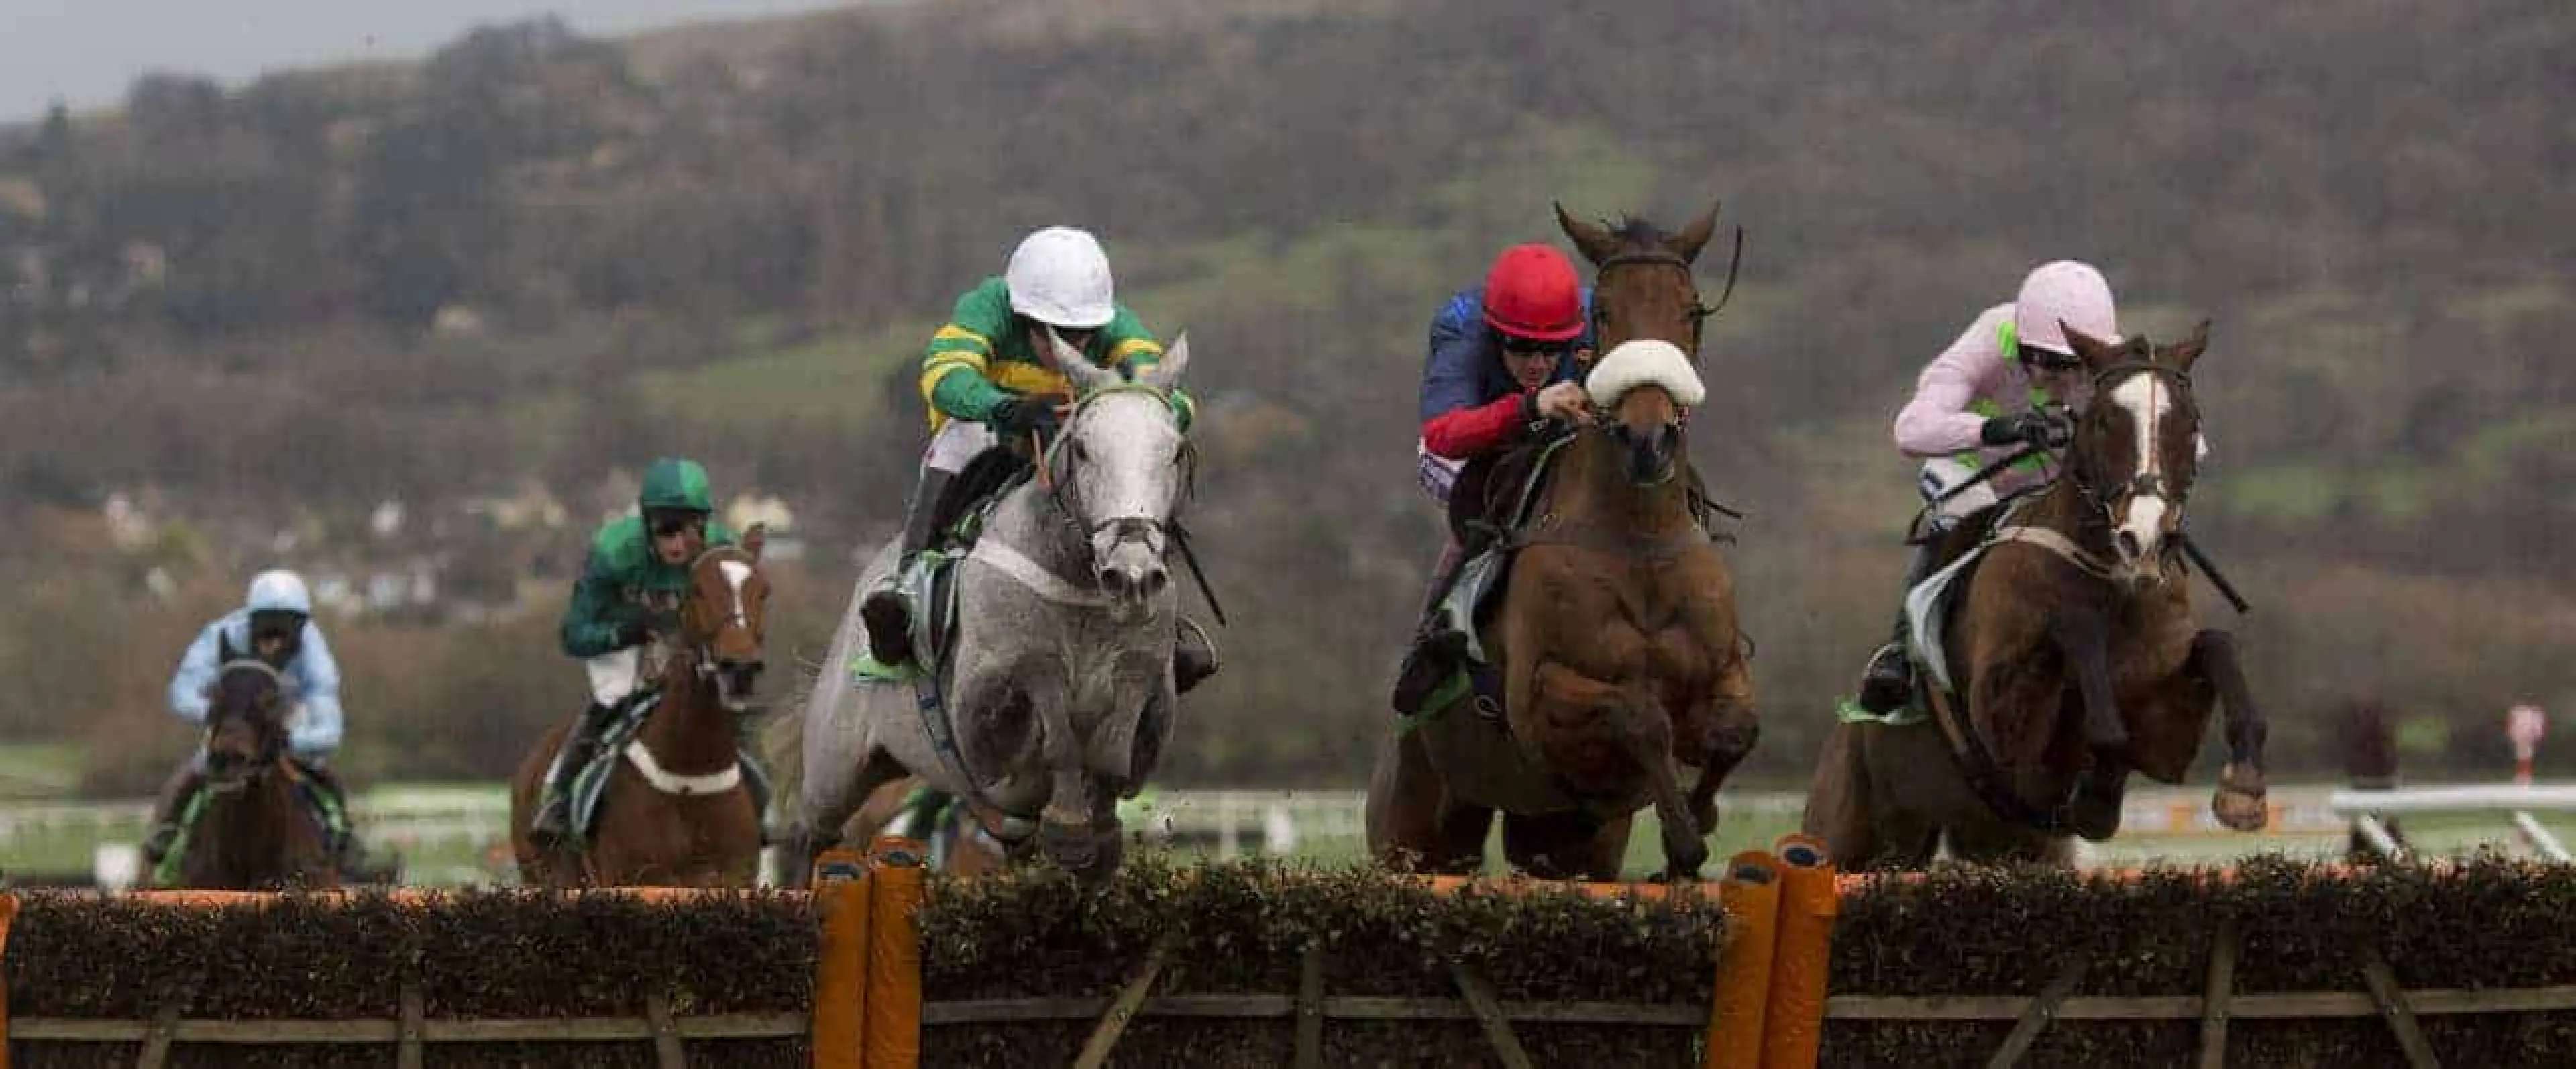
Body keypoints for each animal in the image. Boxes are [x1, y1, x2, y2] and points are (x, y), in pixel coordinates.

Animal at [508, 531, 773, 887]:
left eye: (764, 590)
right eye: (698, 589)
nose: (740, 668)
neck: (689, 773)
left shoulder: (734, 874)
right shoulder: (633, 877)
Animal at [783, 335, 1195, 883]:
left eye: (1174, 451)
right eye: (1083, 449)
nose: (1132, 574)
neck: (1078, 586)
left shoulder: (1147, 682)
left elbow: (1115, 751)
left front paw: (1097, 838)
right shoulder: (984, 701)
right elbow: (1048, 702)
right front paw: (1069, 828)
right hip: (836, 761)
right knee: (813, 834)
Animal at [1367, 204, 1757, 881]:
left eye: (1691, 309)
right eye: (1604, 313)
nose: (1648, 440)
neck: (1639, 537)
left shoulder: (1722, 674)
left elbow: (1734, 729)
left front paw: (1699, 816)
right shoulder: (1538, 700)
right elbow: (1640, 715)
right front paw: (1684, 839)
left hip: (1561, 841)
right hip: (1411, 833)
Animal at [1800, 323, 2272, 867]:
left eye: (2191, 424)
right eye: (2104, 419)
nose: (2144, 537)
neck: (2110, 580)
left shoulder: (2167, 737)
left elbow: (2217, 645)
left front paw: (2244, 788)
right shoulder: (2004, 727)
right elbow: (2077, 637)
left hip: (2013, 844)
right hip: (1844, 836)